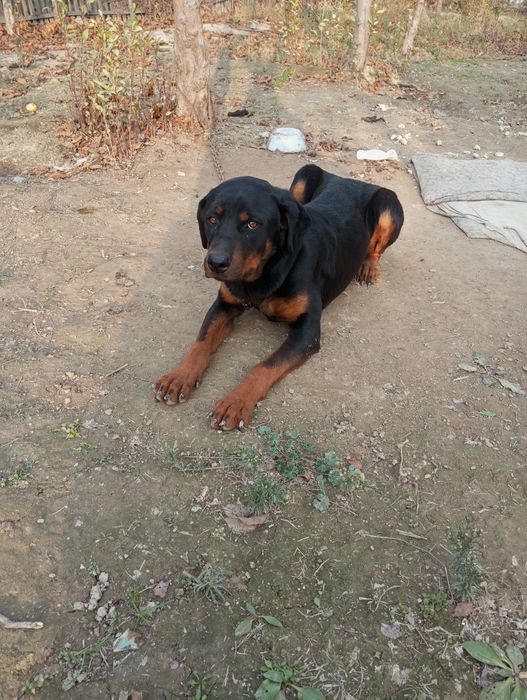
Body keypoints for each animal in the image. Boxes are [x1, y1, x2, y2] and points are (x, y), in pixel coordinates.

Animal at [155, 164, 404, 430]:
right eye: (212, 219)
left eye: (252, 224)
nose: (216, 263)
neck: (265, 272)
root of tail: (350, 180)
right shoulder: (225, 304)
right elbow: (200, 342)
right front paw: (179, 376)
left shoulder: (307, 333)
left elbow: (263, 367)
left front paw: (236, 402)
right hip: (304, 175)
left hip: (388, 205)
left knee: (375, 249)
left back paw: (368, 266)